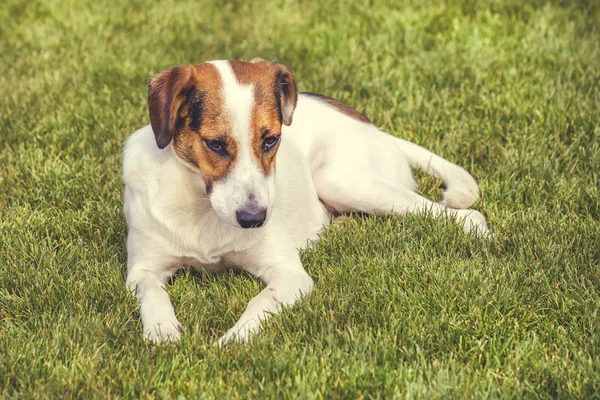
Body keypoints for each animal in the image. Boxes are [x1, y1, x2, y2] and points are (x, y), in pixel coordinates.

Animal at [122, 57, 488, 346]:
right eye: (215, 144)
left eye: (271, 140)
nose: (254, 219)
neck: (201, 204)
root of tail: (376, 128)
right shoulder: (141, 271)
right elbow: (154, 294)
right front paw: (161, 330)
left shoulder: (289, 274)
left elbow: (260, 302)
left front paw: (233, 340)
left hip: (339, 180)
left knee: (465, 215)